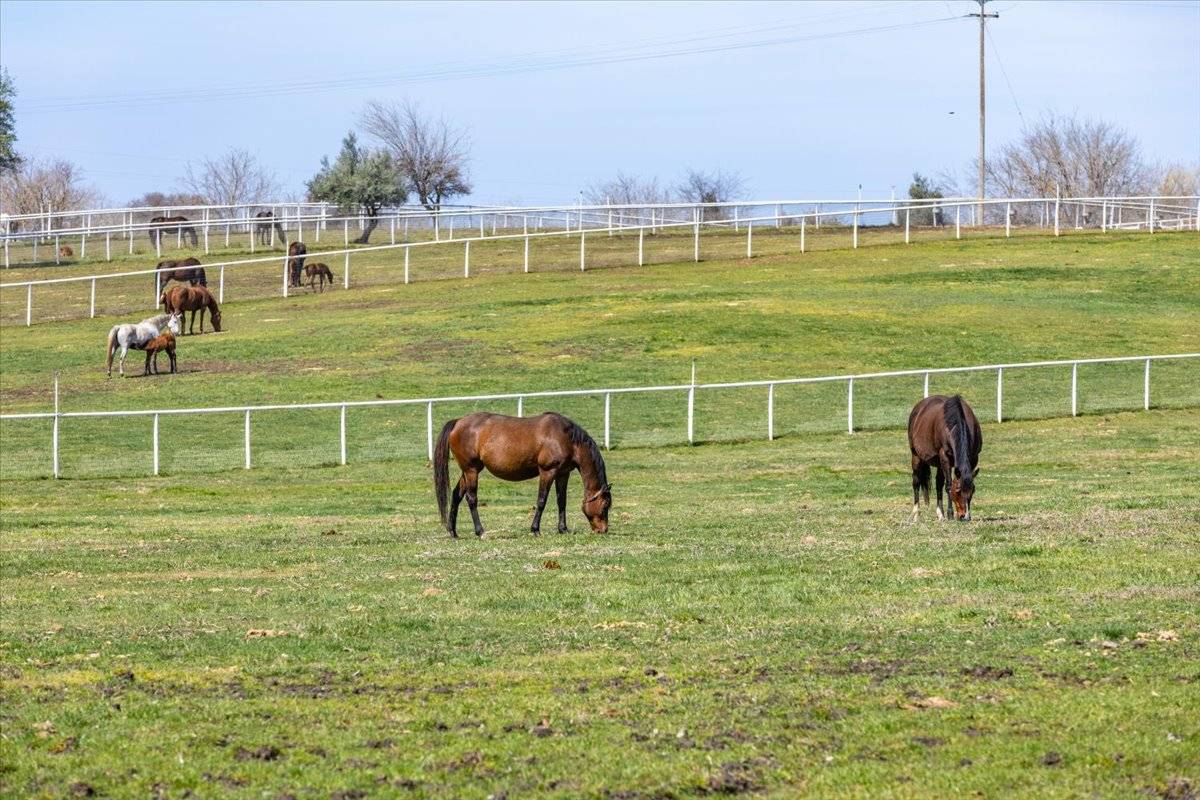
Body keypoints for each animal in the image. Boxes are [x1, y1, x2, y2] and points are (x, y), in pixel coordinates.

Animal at [433, 412, 612, 538]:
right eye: (605, 506)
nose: (602, 530)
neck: (567, 439)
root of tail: (458, 422)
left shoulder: (563, 474)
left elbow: (562, 501)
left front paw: (563, 529)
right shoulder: (547, 472)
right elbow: (541, 501)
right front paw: (535, 529)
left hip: (467, 471)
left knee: (456, 495)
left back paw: (453, 532)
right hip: (471, 470)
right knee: (471, 499)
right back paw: (480, 531)